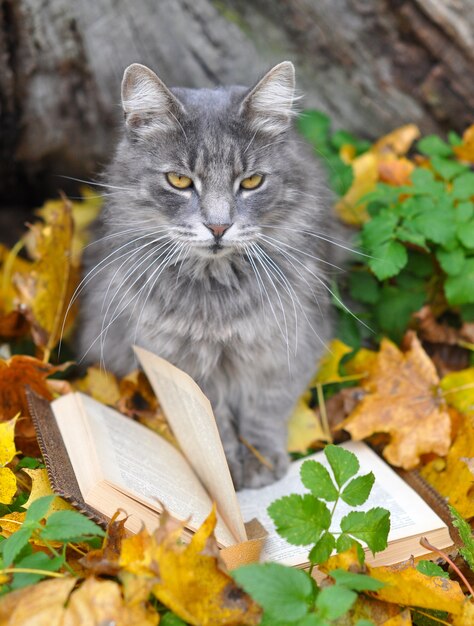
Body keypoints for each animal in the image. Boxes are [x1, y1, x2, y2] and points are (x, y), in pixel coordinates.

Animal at [78, 59, 336, 488]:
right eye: (180, 181)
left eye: (252, 181)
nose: (218, 227)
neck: (218, 292)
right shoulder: (179, 363)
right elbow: (211, 421)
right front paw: (227, 468)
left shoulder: (287, 345)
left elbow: (267, 406)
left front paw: (261, 459)